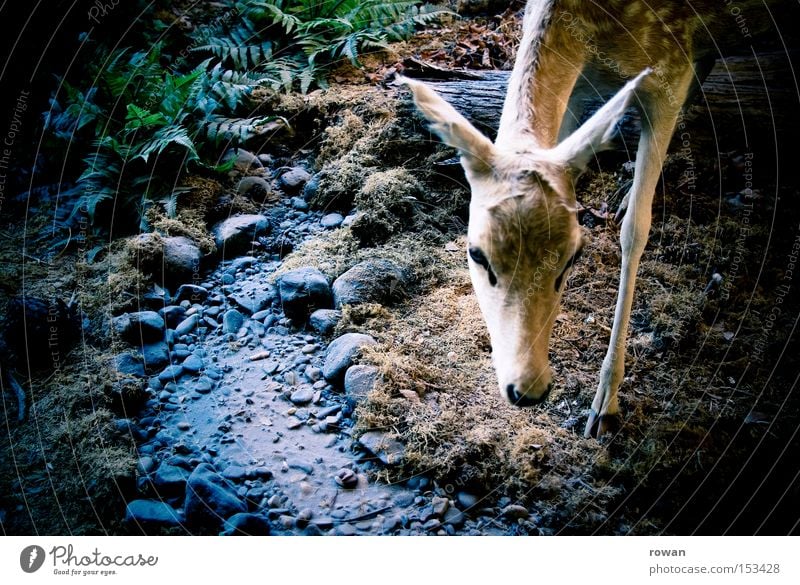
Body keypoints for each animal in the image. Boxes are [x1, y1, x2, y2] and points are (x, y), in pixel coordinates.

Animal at [400, 0, 776, 436]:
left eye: (573, 258)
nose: (528, 390)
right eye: (477, 254)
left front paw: (605, 405)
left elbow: (636, 229)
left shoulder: (672, 63)